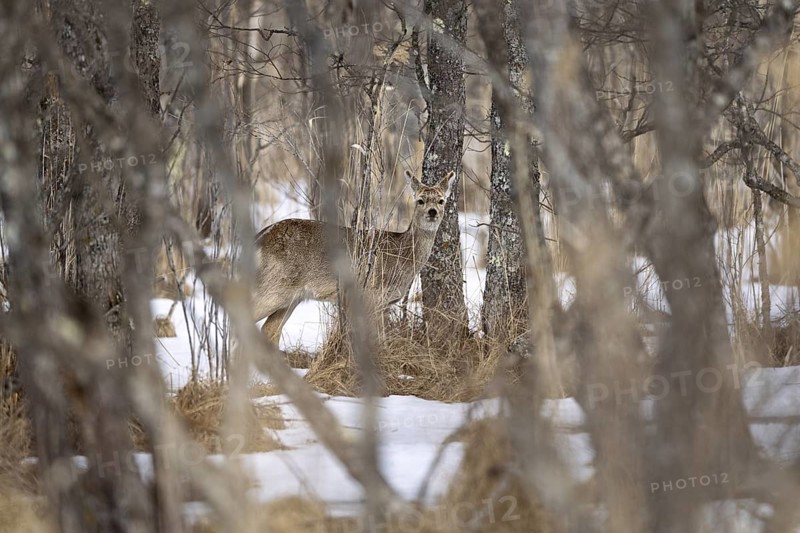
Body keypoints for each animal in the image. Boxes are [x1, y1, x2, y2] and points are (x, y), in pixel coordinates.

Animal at [253, 169, 455, 346]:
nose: (432, 211)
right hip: (274, 287)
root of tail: (259, 238)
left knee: (270, 331)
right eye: (420, 200)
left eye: (441, 200)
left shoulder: (385, 302)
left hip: (292, 297)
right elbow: (377, 339)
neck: (401, 255)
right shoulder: (372, 294)